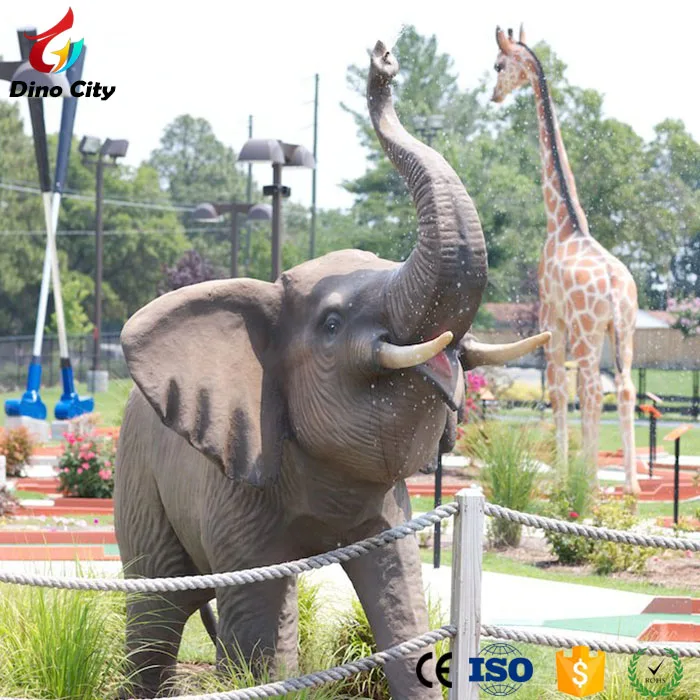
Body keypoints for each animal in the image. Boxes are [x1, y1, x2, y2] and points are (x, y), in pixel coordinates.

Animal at [114, 40, 550, 699]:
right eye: (332, 323)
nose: (383, 62)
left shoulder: (390, 509)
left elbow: (399, 597)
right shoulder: (239, 484)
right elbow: (263, 622)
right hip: (139, 479)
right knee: (157, 607)